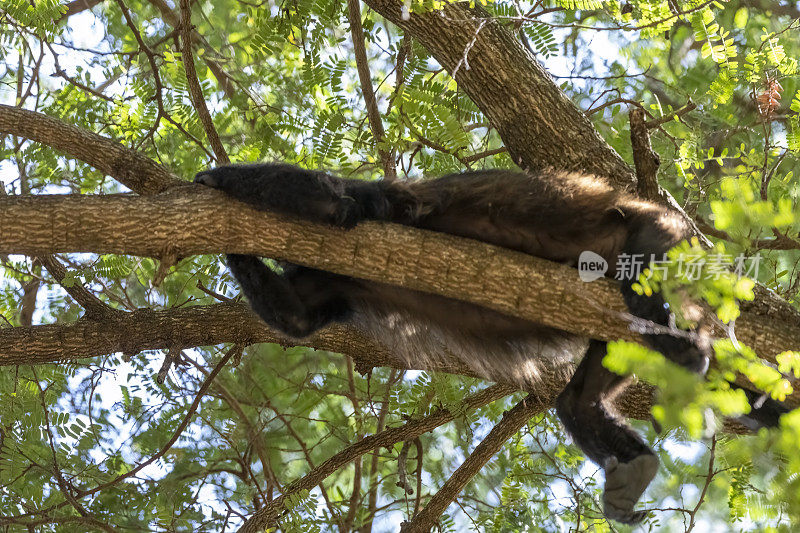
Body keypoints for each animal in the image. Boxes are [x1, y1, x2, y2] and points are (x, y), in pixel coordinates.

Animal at [195, 163, 788, 524]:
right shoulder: (334, 285)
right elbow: (297, 315)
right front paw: (234, 247)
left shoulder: (393, 207)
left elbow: (337, 204)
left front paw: (214, 179)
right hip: (617, 331)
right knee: (577, 402)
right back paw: (635, 462)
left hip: (661, 234)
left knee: (643, 286)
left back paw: (688, 350)